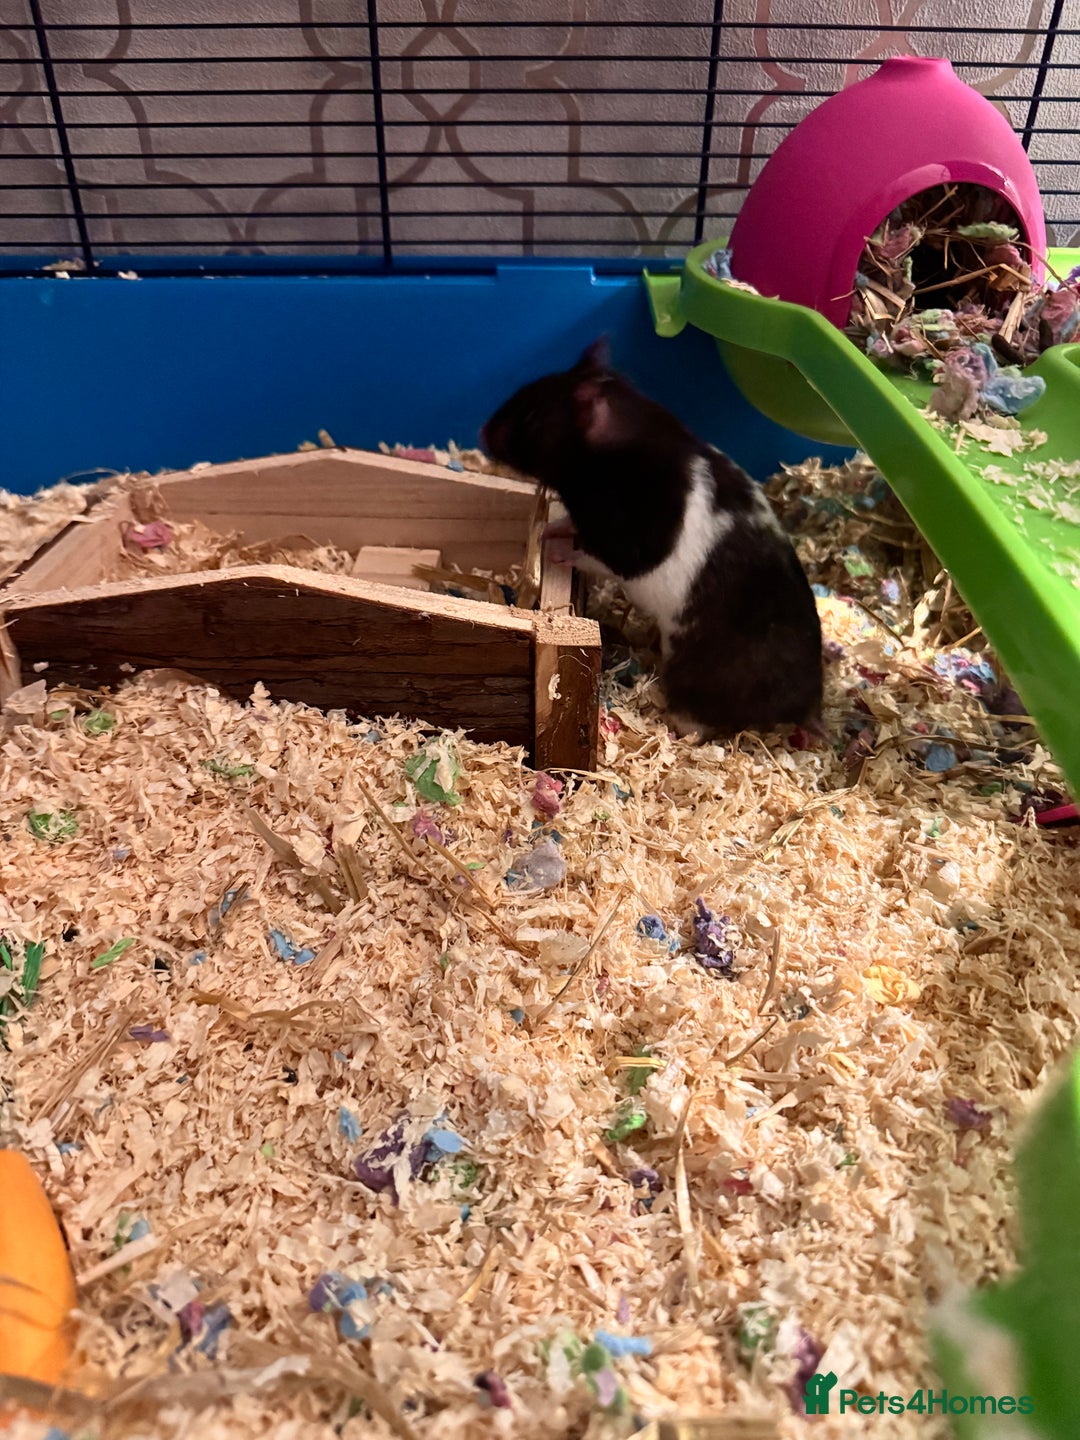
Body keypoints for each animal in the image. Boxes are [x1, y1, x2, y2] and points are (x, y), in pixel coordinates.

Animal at [479, 338, 824, 737]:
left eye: (531, 417)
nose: (482, 432)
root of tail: (811, 706)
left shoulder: (631, 544)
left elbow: (596, 555)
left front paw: (554, 549)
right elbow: (573, 526)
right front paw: (552, 528)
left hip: (698, 683)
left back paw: (674, 726)